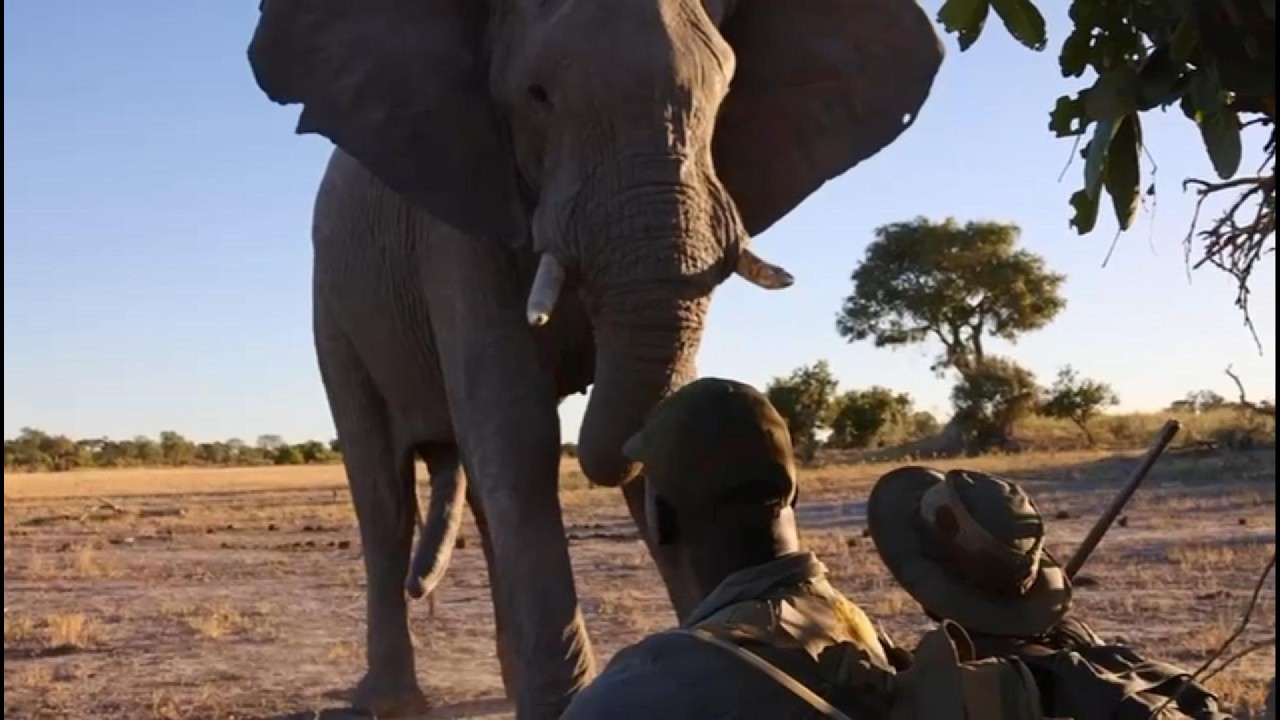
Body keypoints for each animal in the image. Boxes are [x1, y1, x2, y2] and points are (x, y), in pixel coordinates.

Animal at [245, 0, 943, 717]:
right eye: (537, 96)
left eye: (723, 95)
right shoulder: (455, 226)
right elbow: (515, 429)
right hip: (332, 302)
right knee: (384, 493)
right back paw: (388, 701)